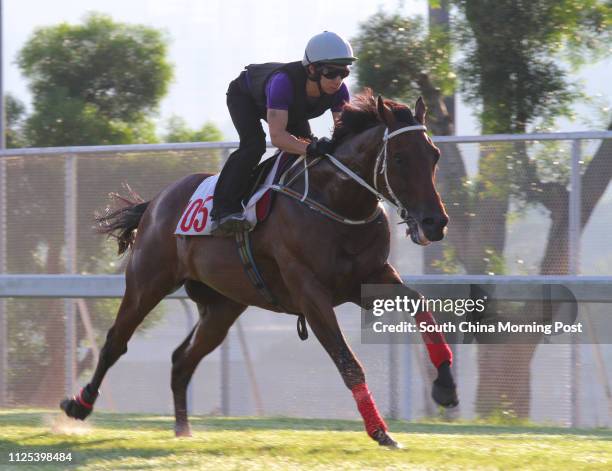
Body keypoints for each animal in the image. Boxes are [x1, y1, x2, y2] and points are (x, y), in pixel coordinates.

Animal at [59, 91, 456, 450]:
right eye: (400, 158)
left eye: (434, 155)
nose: (435, 223)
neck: (334, 202)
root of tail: (156, 202)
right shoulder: (311, 294)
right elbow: (348, 362)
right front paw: (380, 431)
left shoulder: (368, 278)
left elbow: (420, 305)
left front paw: (446, 387)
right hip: (147, 282)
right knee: (115, 343)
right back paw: (79, 405)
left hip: (223, 305)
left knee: (182, 359)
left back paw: (183, 430)